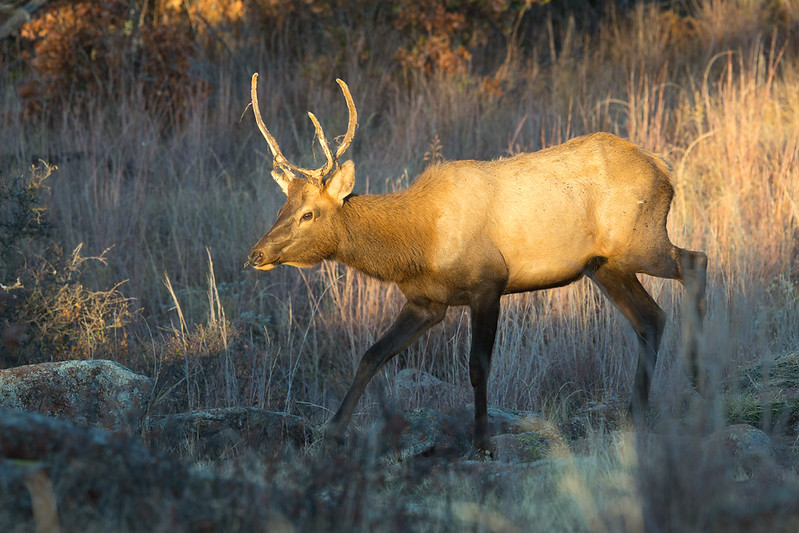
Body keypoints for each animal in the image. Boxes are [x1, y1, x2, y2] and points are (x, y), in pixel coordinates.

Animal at [246, 73, 708, 452]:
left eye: (309, 214)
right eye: (283, 207)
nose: (256, 254)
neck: (419, 244)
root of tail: (664, 169)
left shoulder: (488, 283)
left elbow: (476, 367)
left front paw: (483, 443)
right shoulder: (426, 302)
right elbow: (371, 356)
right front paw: (333, 432)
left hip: (640, 241)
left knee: (696, 262)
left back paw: (696, 383)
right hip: (604, 265)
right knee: (651, 317)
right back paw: (637, 413)